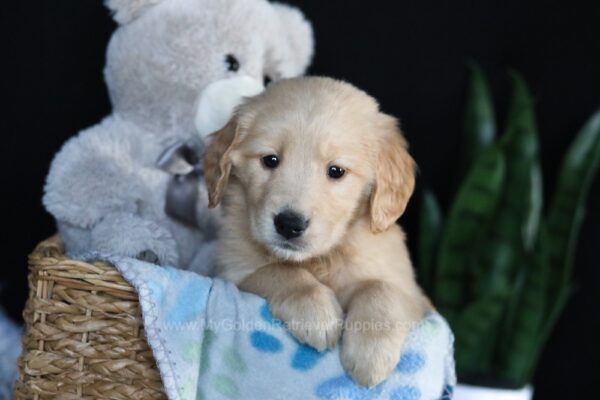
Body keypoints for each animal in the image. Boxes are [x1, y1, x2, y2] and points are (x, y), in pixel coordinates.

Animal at [204, 76, 428, 386]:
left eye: (336, 171)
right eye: (270, 160)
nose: (289, 224)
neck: (322, 258)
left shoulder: (415, 296)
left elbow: (380, 288)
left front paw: (371, 354)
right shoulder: (232, 273)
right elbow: (281, 271)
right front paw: (317, 314)